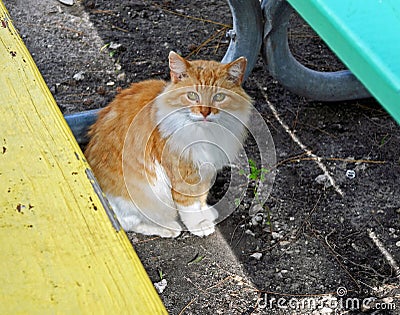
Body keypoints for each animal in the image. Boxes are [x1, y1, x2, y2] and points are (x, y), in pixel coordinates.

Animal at [85, 51, 252, 237]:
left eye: (219, 97)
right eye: (192, 96)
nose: (205, 113)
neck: (204, 134)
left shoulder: (206, 170)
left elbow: (201, 197)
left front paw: (206, 212)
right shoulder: (184, 175)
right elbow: (190, 205)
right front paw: (200, 225)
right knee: (130, 224)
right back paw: (169, 228)